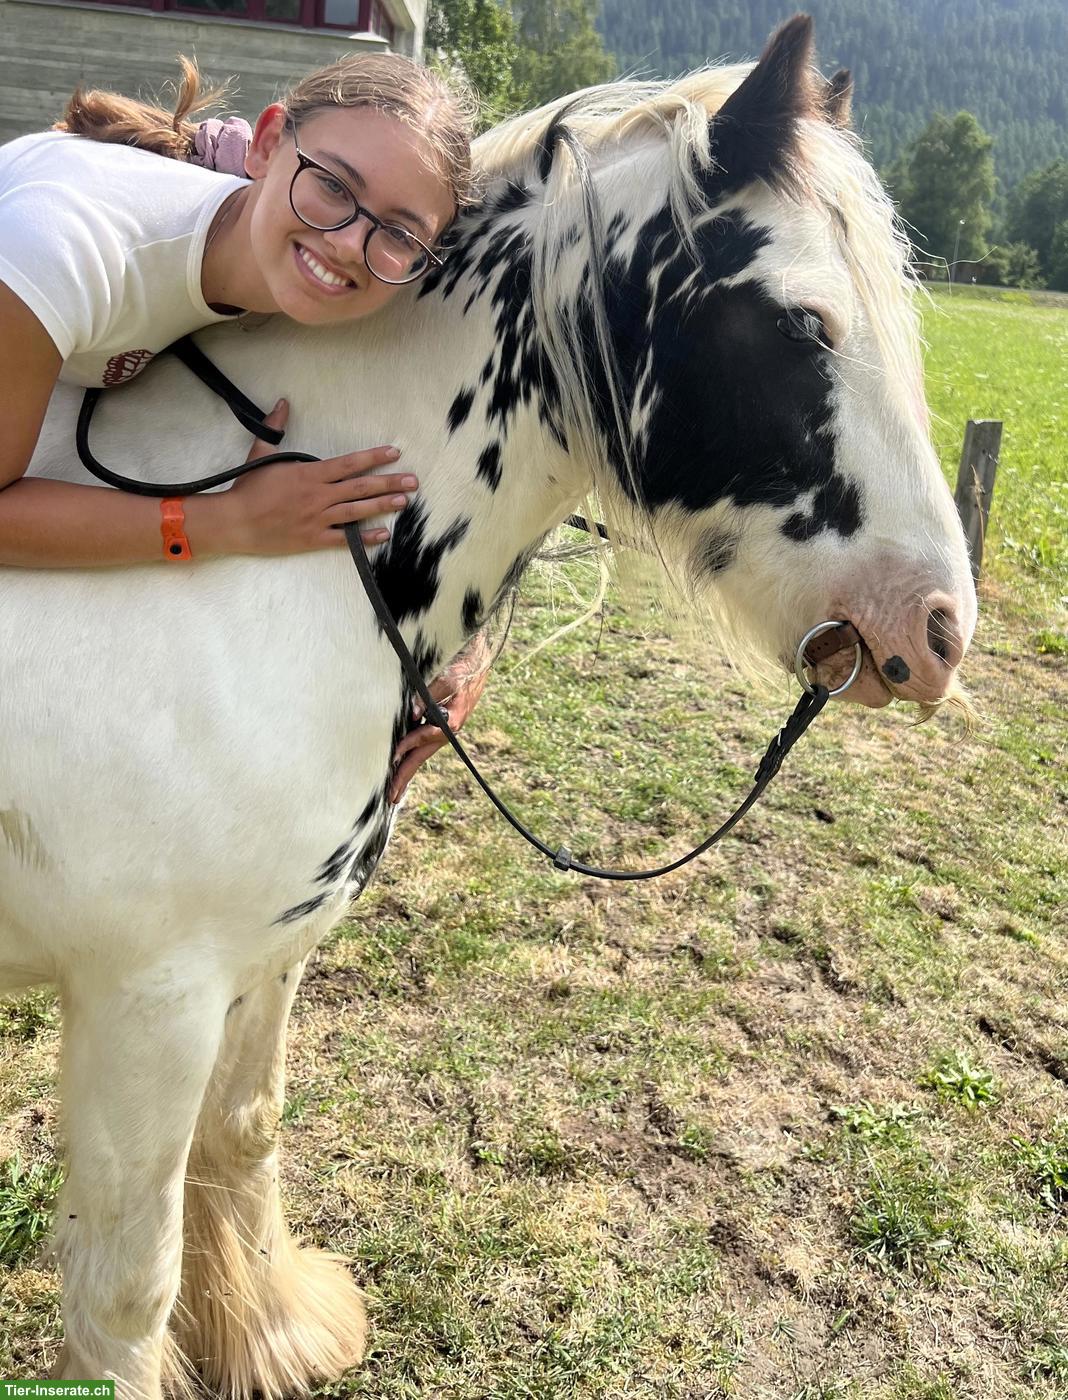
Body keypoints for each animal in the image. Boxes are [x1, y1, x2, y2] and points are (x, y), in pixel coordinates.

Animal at [0, 16, 976, 1398]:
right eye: (801, 322)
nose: (937, 632)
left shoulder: (261, 953)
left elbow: (244, 1128)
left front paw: (271, 1332)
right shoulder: (147, 997)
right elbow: (123, 1290)